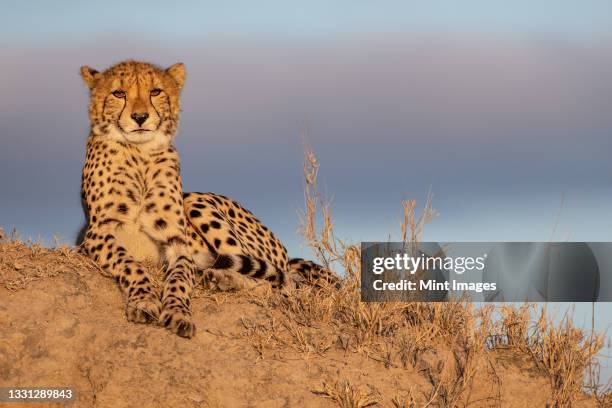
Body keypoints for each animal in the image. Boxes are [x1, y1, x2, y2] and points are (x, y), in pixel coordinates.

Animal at [78, 60, 338, 338]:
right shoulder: (96, 234)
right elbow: (129, 262)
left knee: (278, 282)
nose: (140, 117)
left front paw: (178, 312)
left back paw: (222, 277)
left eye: (155, 92)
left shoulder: (178, 242)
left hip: (196, 202)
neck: (140, 153)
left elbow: (180, 279)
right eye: (119, 93)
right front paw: (144, 300)